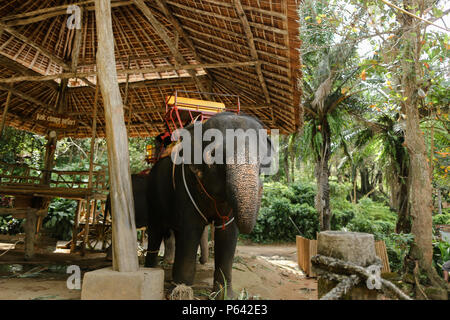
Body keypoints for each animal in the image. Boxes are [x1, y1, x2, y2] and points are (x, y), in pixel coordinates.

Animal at [144, 111, 272, 296]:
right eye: (214, 154)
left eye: (262, 156)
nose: (261, 185)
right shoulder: (185, 184)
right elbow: (191, 229)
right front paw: (181, 292)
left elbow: (228, 234)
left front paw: (225, 295)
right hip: (153, 195)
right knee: (156, 230)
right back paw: (151, 269)